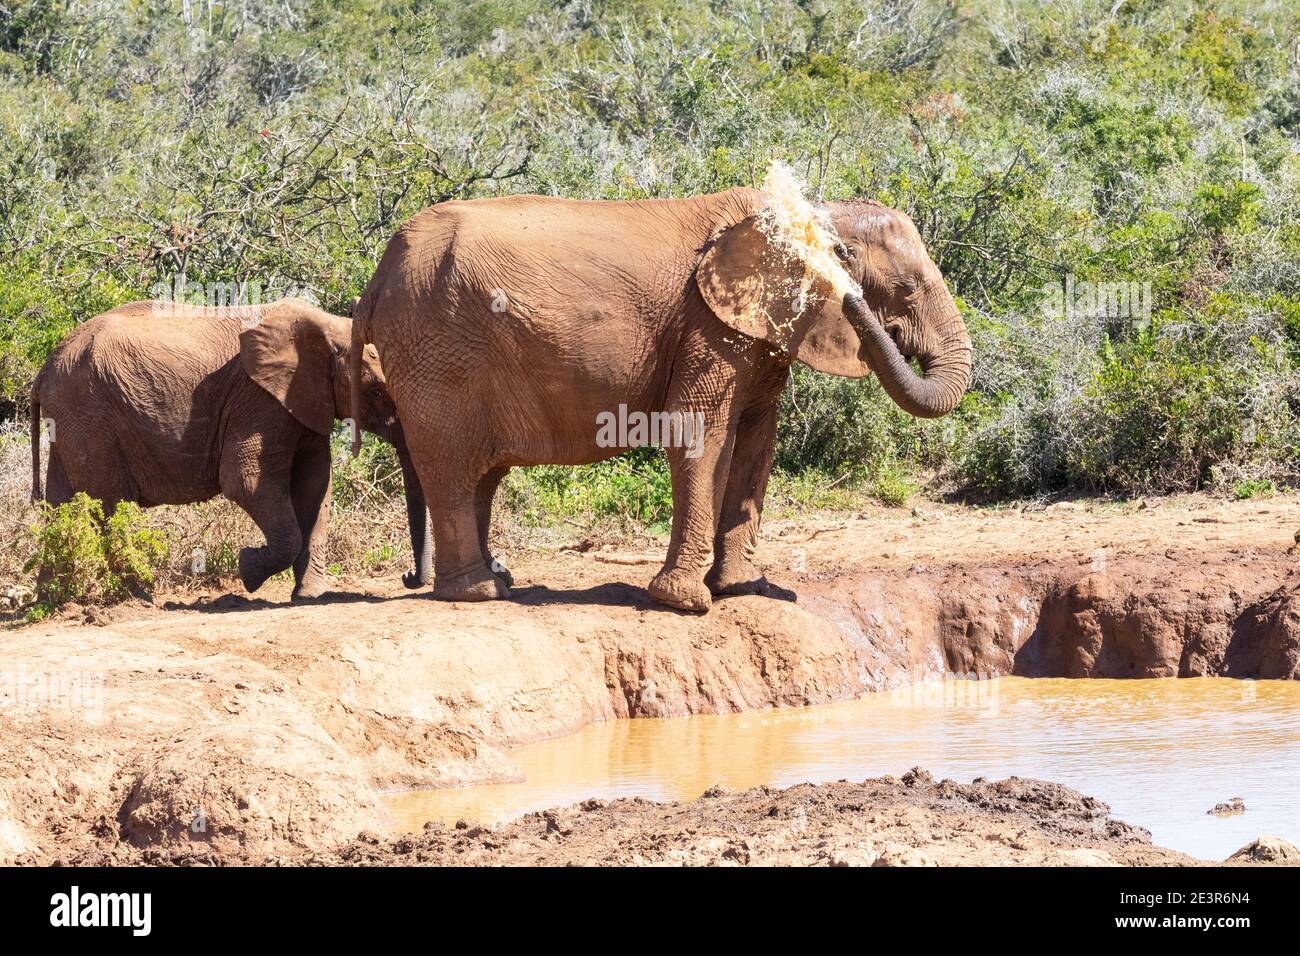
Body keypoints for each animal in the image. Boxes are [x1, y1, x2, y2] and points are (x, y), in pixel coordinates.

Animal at [30, 295, 428, 600]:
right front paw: (248, 569)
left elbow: (315, 485)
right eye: (377, 392)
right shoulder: (259, 400)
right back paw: (137, 596)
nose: (407, 577)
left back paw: (55, 601)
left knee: (60, 502)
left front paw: (309, 596)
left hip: (71, 421)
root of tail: (44, 369)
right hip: (91, 416)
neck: (330, 328)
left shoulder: (304, 401)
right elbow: (244, 480)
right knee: (109, 504)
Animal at [351, 188, 972, 613]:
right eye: (906, 290)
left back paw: (496, 582)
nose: (851, 293)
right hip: (437, 349)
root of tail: (377, 277)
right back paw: (479, 592)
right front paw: (687, 604)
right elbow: (696, 430)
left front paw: (741, 589)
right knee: (455, 466)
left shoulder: (750, 334)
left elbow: (757, 442)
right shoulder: (709, 326)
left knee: (482, 474)